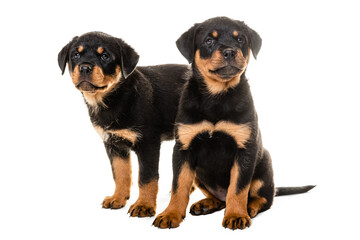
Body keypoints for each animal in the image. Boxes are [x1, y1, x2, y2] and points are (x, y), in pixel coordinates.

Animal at [57, 31, 188, 218]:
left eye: (105, 56)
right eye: (75, 54)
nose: (85, 67)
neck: (113, 100)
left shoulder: (148, 143)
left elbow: (147, 178)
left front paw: (144, 205)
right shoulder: (113, 145)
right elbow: (120, 174)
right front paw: (118, 198)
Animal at [153, 16, 314, 229]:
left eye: (240, 39)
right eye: (209, 41)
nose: (229, 51)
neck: (216, 97)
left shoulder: (245, 149)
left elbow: (237, 188)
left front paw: (236, 215)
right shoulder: (183, 149)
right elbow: (179, 185)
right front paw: (170, 214)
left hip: (264, 165)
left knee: (263, 198)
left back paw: (250, 208)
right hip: (200, 175)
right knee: (220, 198)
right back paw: (207, 204)